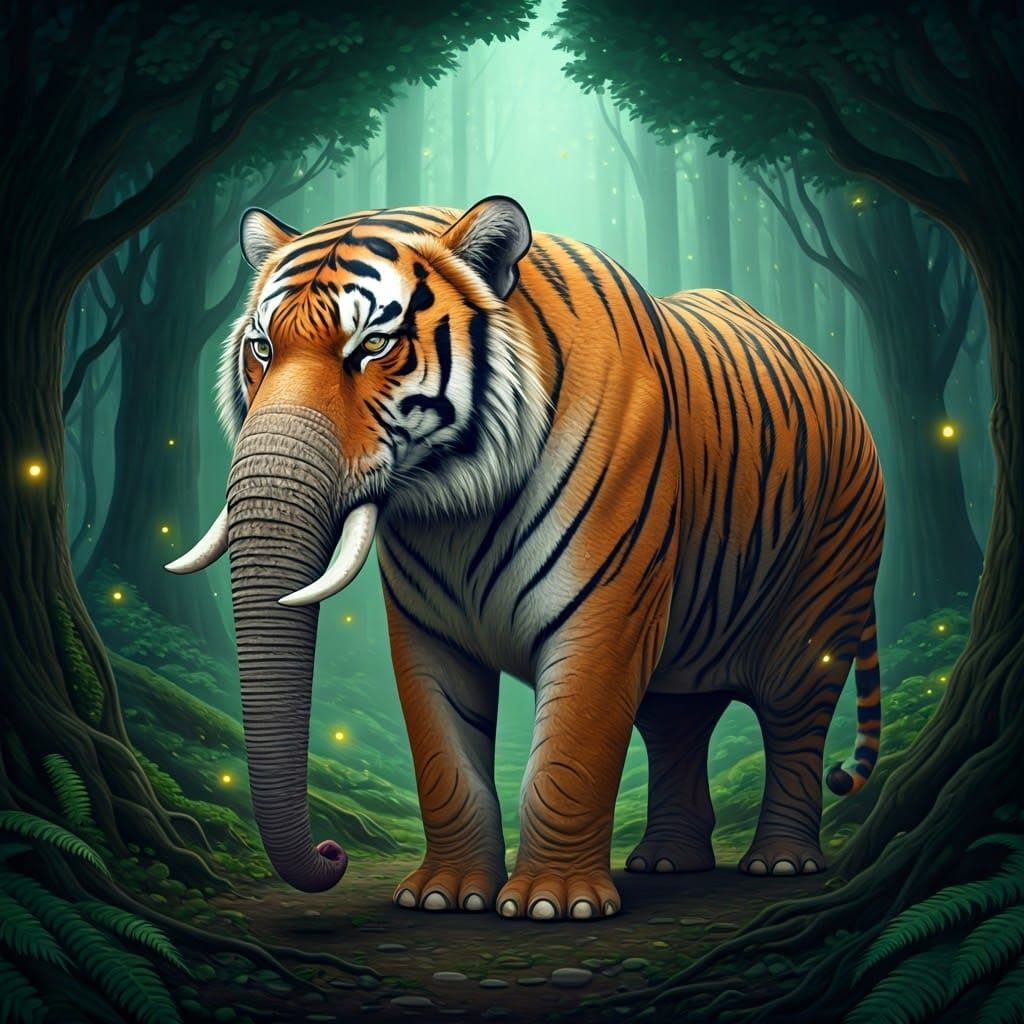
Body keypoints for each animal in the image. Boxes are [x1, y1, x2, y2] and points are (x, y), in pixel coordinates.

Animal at [188, 195, 884, 919]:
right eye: (263, 348)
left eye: (373, 346)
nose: (333, 853)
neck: (455, 506)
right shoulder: (428, 632)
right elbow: (444, 759)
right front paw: (446, 893)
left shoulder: (604, 617)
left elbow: (570, 753)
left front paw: (554, 901)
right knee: (678, 729)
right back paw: (668, 860)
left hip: (817, 615)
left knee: (794, 724)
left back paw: (781, 860)